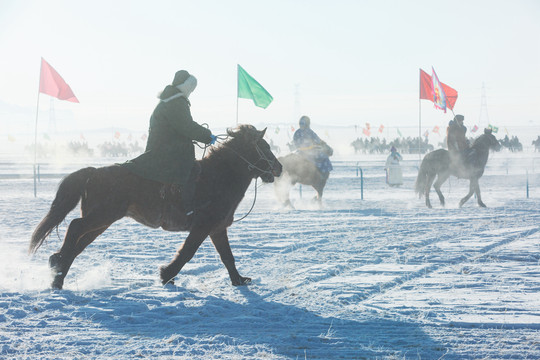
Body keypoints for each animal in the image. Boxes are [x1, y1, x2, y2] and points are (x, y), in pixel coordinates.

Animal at [29, 126, 282, 290]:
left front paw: (239, 280)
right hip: (102, 216)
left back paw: (57, 267)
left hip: (101, 222)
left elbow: (228, 256)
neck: (218, 177)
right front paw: (166, 275)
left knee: (77, 242)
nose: (279, 168)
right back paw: (57, 275)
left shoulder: (217, 229)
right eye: (264, 146)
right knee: (74, 227)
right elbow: (187, 252)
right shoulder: (203, 226)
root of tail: (93, 172)